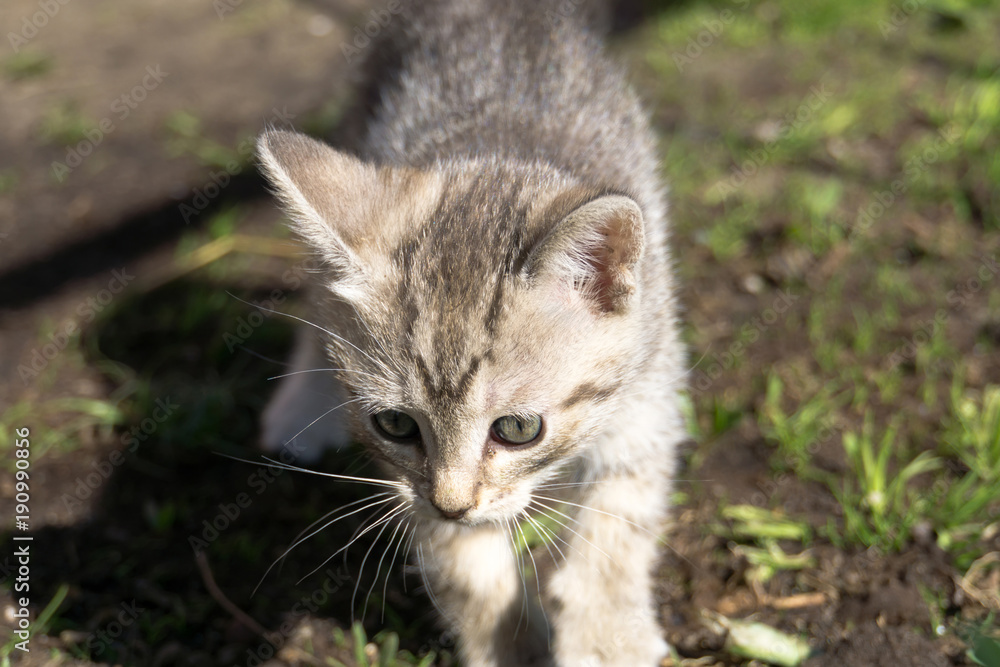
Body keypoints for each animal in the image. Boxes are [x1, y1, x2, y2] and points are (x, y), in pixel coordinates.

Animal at [256, 1, 688, 667]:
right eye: (395, 424)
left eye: (518, 429)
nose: (453, 504)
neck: (496, 149)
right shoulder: (413, 484)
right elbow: (470, 572)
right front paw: (512, 648)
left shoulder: (649, 383)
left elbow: (619, 519)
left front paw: (608, 635)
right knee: (318, 294)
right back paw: (302, 405)